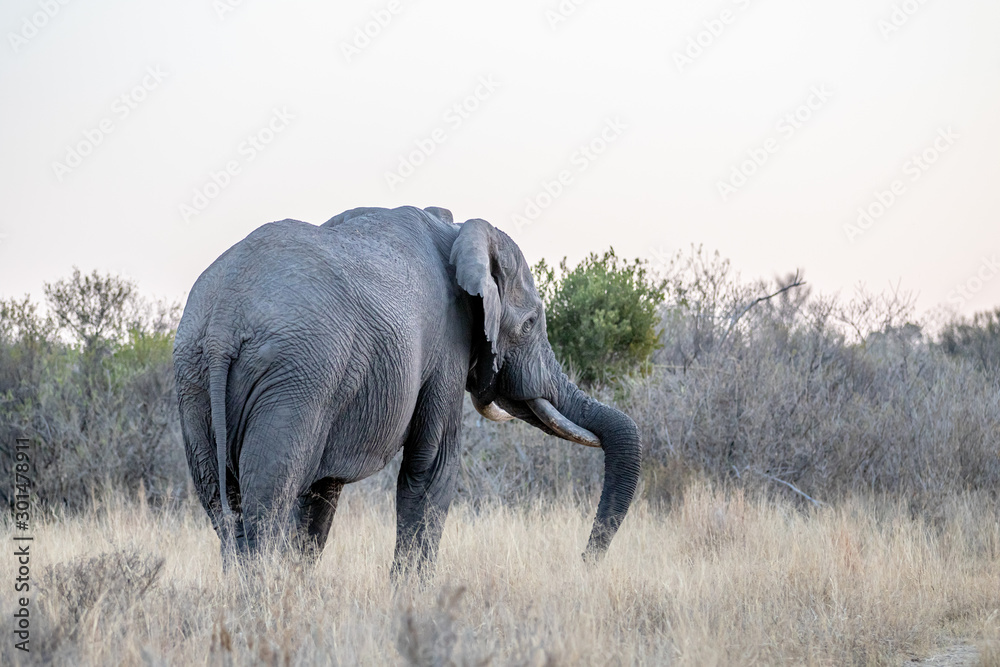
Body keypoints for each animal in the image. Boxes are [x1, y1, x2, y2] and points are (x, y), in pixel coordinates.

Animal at [173, 205, 642, 572]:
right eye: (528, 325)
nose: (586, 563)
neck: (457, 232)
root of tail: (223, 321)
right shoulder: (446, 345)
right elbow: (432, 468)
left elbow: (321, 494)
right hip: (295, 379)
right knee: (266, 503)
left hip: (194, 380)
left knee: (222, 508)